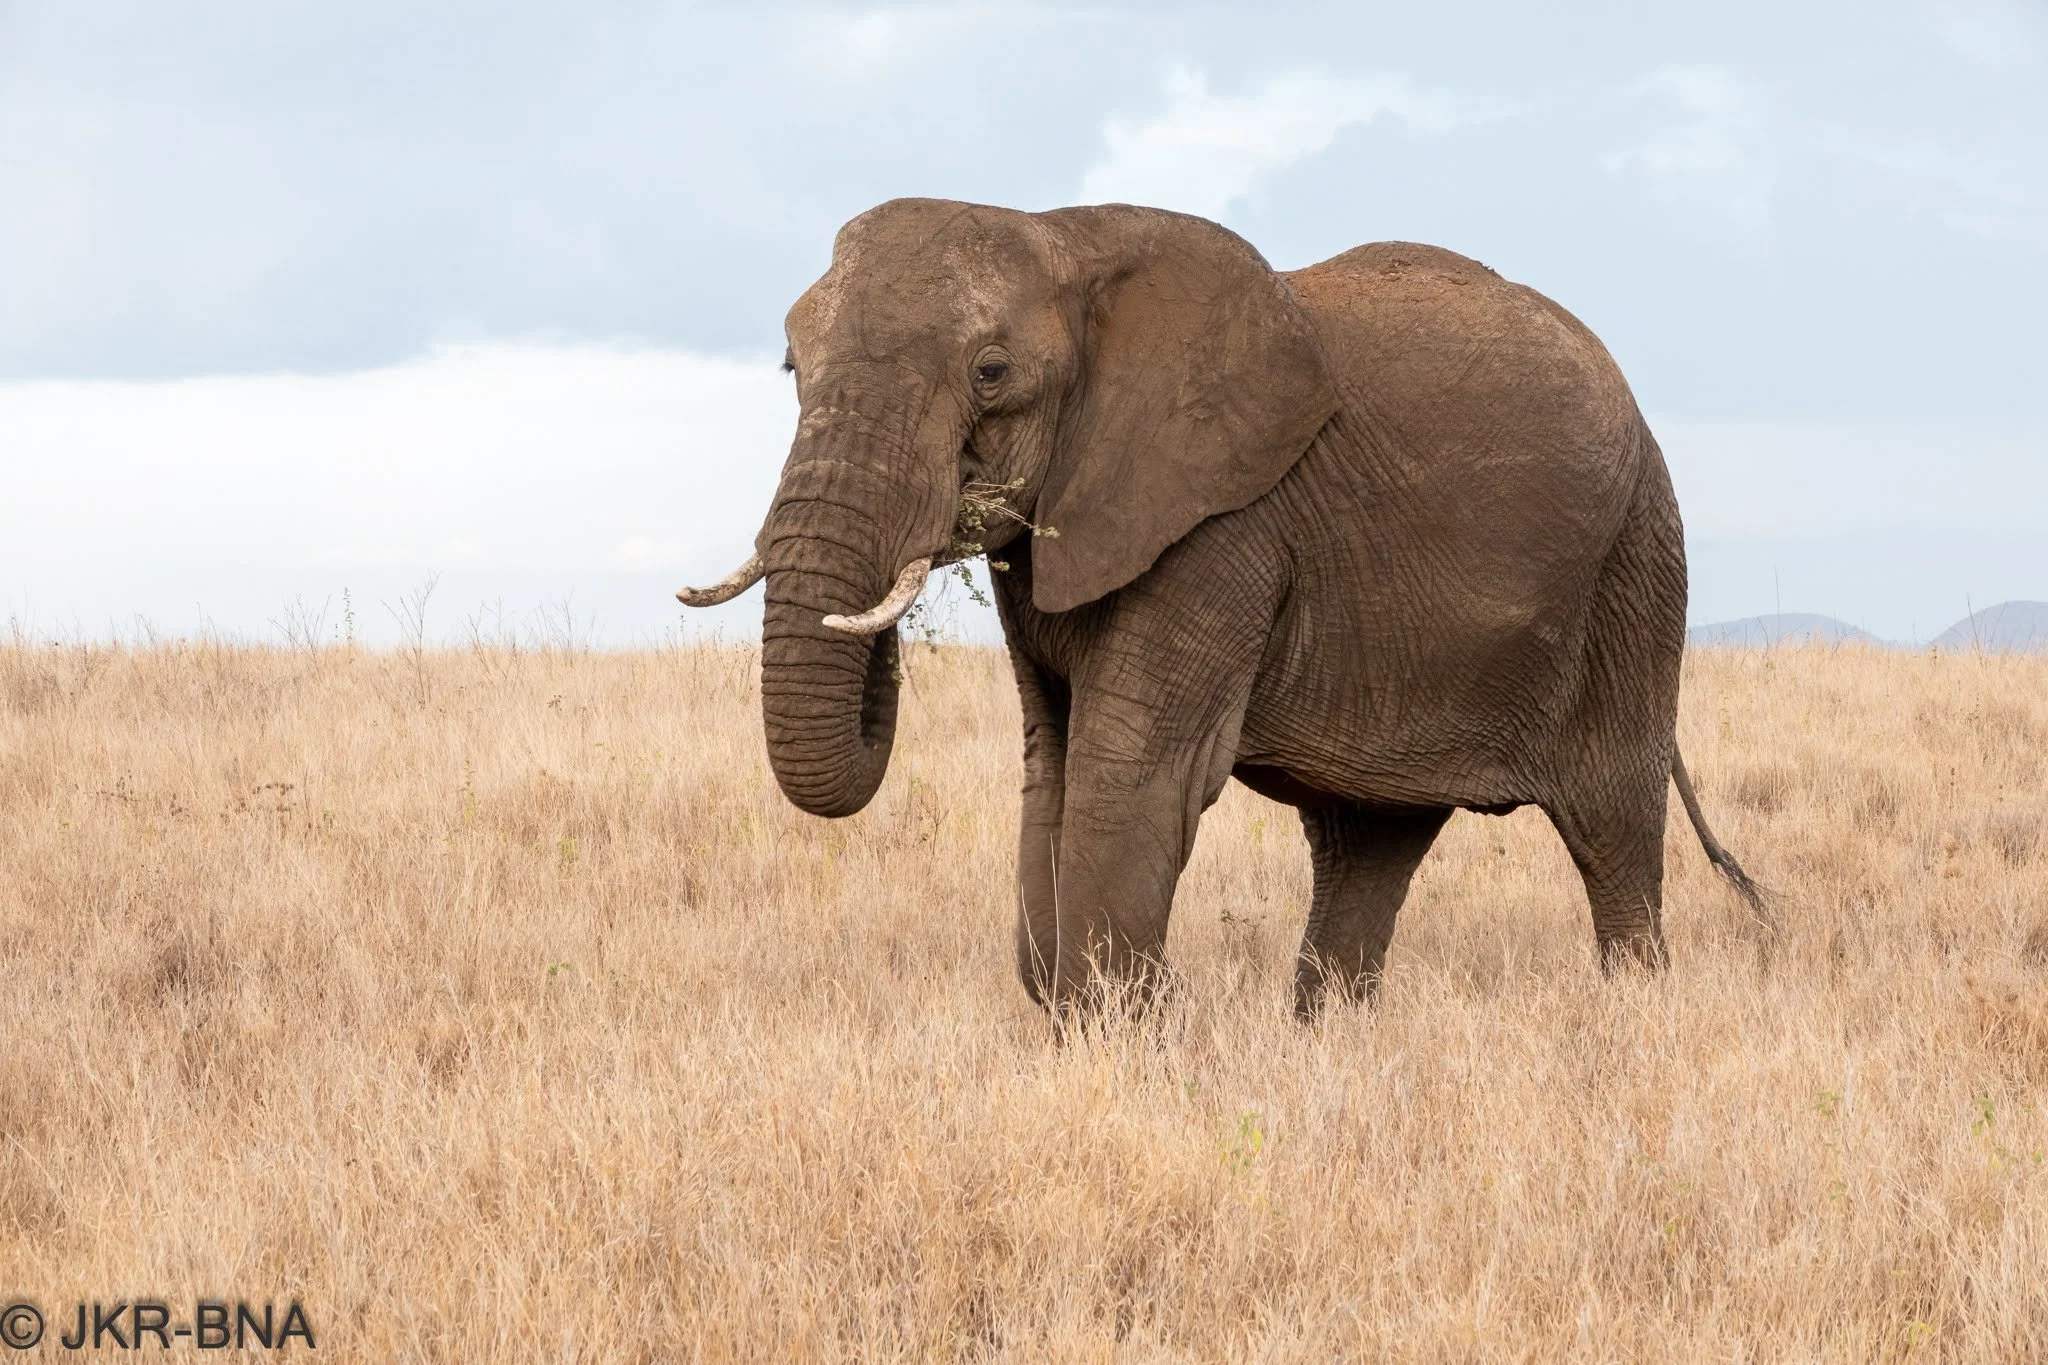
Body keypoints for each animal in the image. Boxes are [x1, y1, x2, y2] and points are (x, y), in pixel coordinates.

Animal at [679, 197, 1762, 1017]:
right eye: (792, 368)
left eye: (990, 374)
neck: (1064, 238)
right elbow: (1052, 767)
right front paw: (1087, 1013)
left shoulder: (1224, 524)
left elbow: (1127, 769)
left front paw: (1123, 1024)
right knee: (1366, 845)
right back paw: (1328, 1041)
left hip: (1634, 562)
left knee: (1610, 826)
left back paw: (1632, 1017)